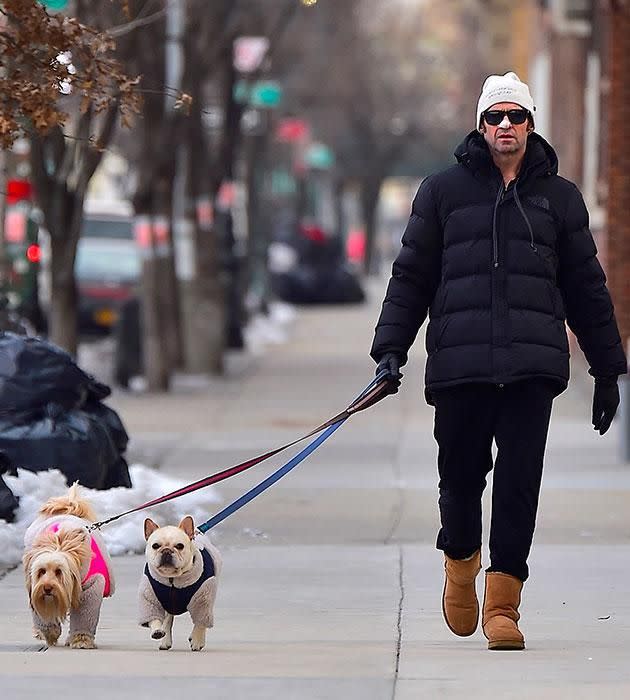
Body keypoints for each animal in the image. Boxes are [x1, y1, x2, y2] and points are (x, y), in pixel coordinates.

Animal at [22, 484, 116, 648]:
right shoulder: (36, 590)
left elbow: (85, 614)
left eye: (59, 572)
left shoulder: (90, 586)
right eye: (41, 571)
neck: (59, 542)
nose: (47, 588)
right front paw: (50, 633)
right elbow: (43, 614)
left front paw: (81, 639)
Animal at [138, 516, 222, 652]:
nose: (166, 551)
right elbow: (153, 617)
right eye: (155, 546)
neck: (172, 578)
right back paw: (165, 640)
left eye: (179, 546)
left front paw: (197, 640)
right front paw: (157, 630)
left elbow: (200, 622)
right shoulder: (150, 599)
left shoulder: (203, 600)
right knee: (168, 620)